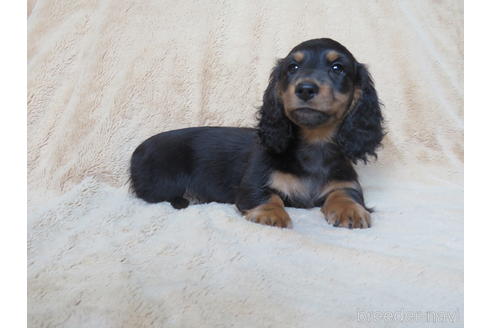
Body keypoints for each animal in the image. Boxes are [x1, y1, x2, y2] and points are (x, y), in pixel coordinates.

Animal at [131, 37, 384, 228]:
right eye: (292, 67)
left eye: (337, 68)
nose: (305, 89)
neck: (314, 143)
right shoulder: (254, 181)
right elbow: (267, 195)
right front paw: (271, 213)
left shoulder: (345, 183)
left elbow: (346, 194)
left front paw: (351, 211)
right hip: (164, 182)